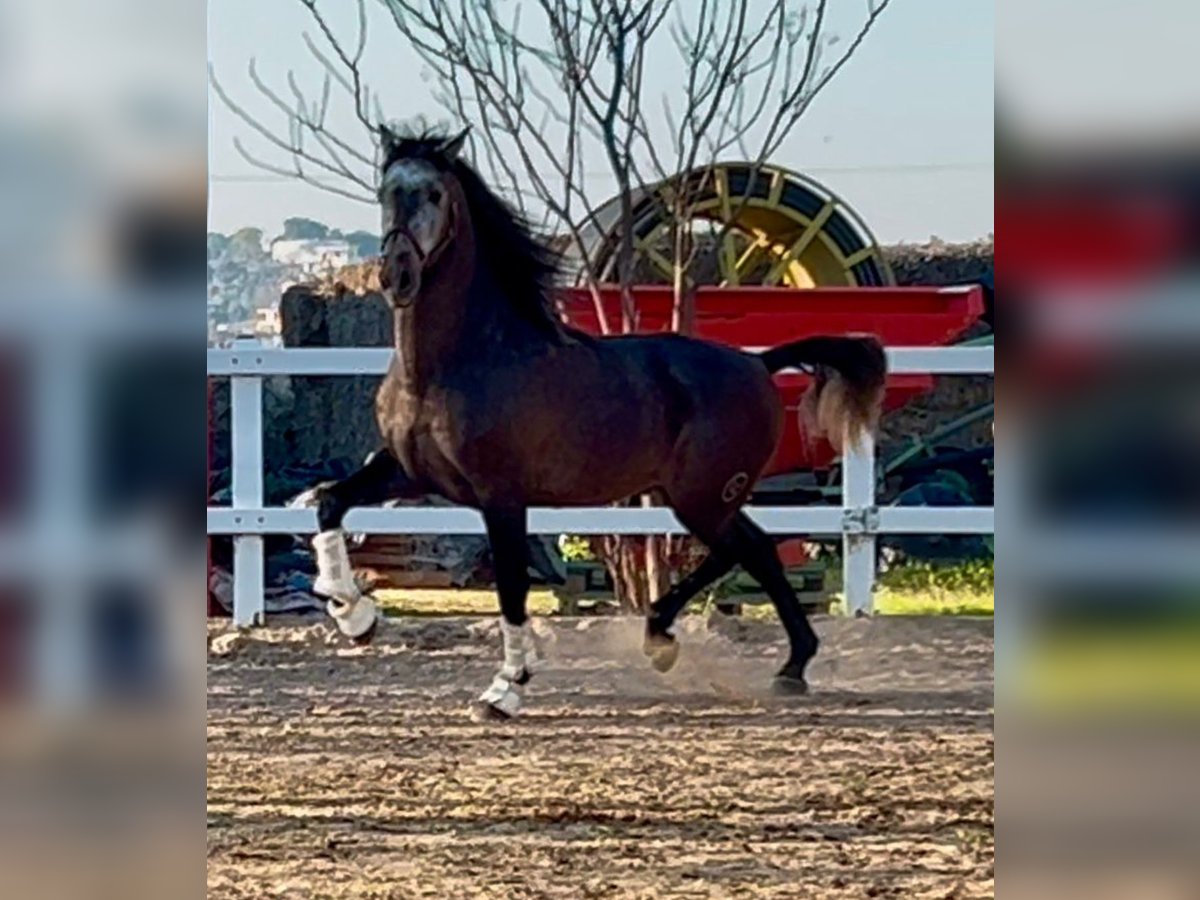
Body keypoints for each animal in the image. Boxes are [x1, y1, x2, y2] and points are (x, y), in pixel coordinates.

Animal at [302, 125, 883, 720]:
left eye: (435, 195)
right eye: (386, 192)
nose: (396, 275)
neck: (453, 363)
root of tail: (757, 363)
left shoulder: (500, 496)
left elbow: (511, 587)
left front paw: (505, 689)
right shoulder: (410, 471)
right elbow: (329, 501)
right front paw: (355, 617)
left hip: (703, 495)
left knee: (745, 551)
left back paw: (711, 648)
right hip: (698, 495)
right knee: (755, 550)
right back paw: (753, 660)